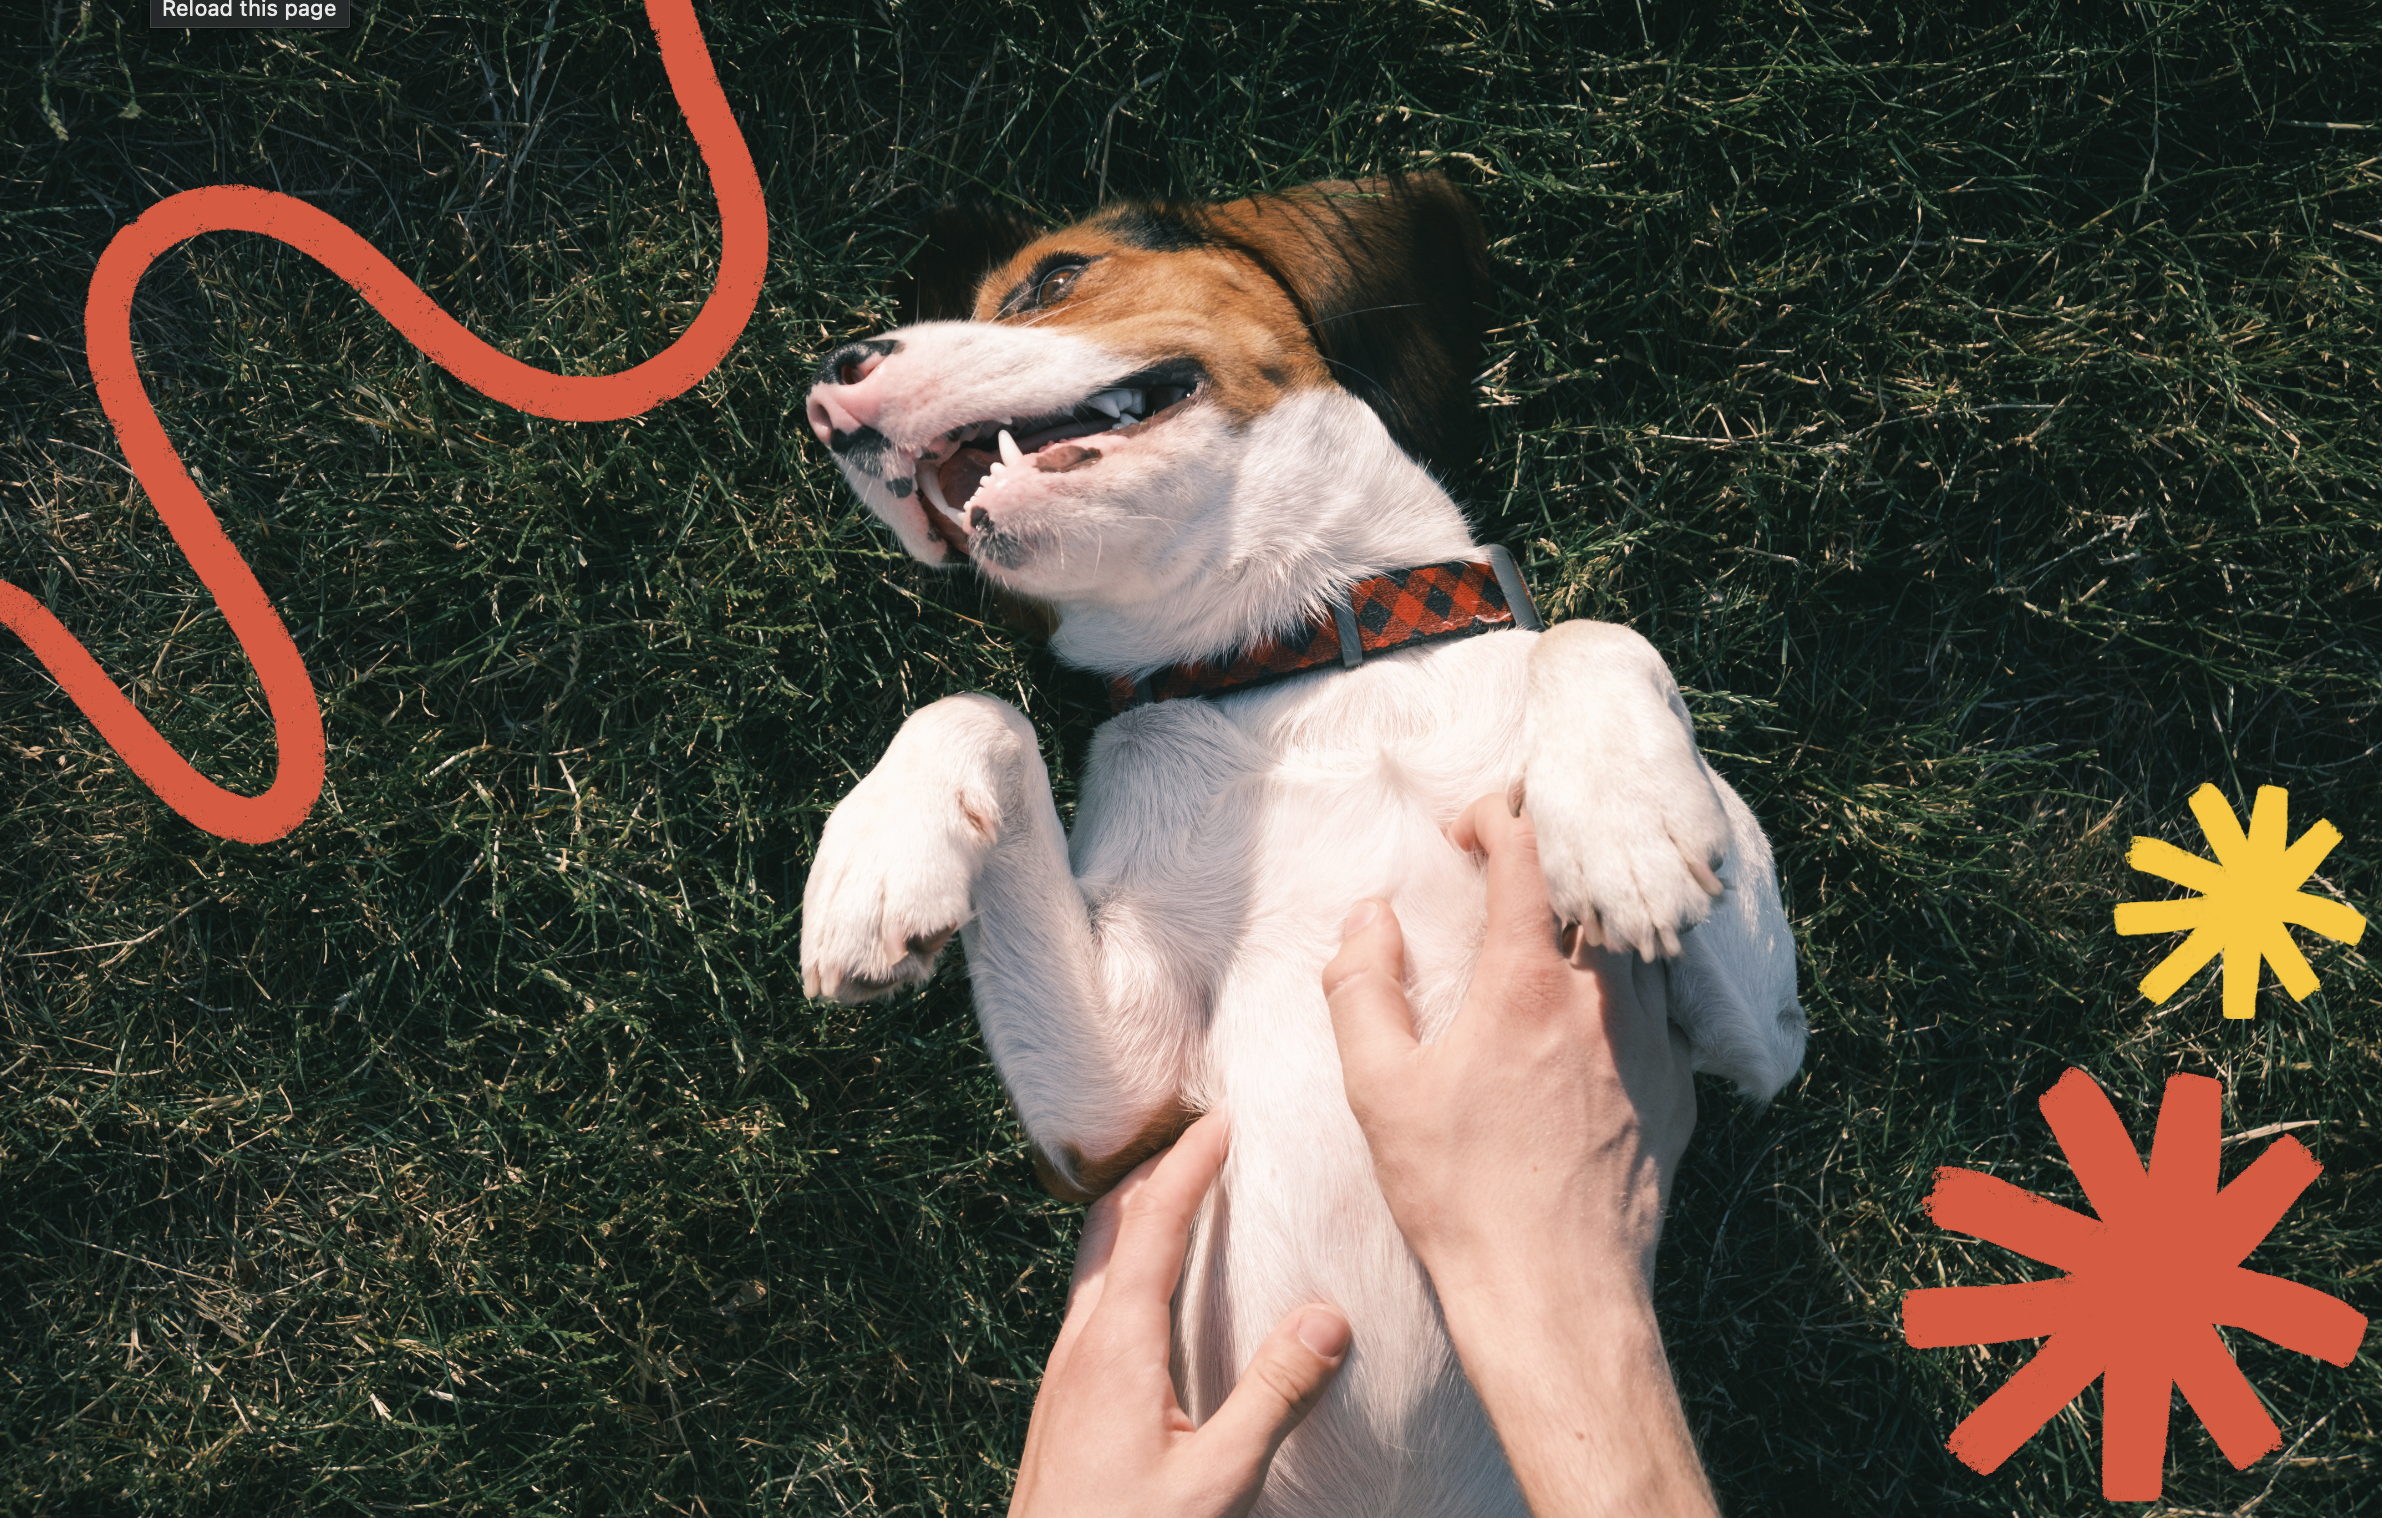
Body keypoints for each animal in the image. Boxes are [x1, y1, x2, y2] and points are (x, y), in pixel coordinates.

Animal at [800, 181, 1800, 1515]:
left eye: (1052, 278)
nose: (824, 383)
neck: (1303, 656)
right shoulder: (1118, 1122)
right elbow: (978, 707)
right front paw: (871, 862)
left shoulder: (1760, 1045)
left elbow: (1592, 630)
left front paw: (1626, 821)